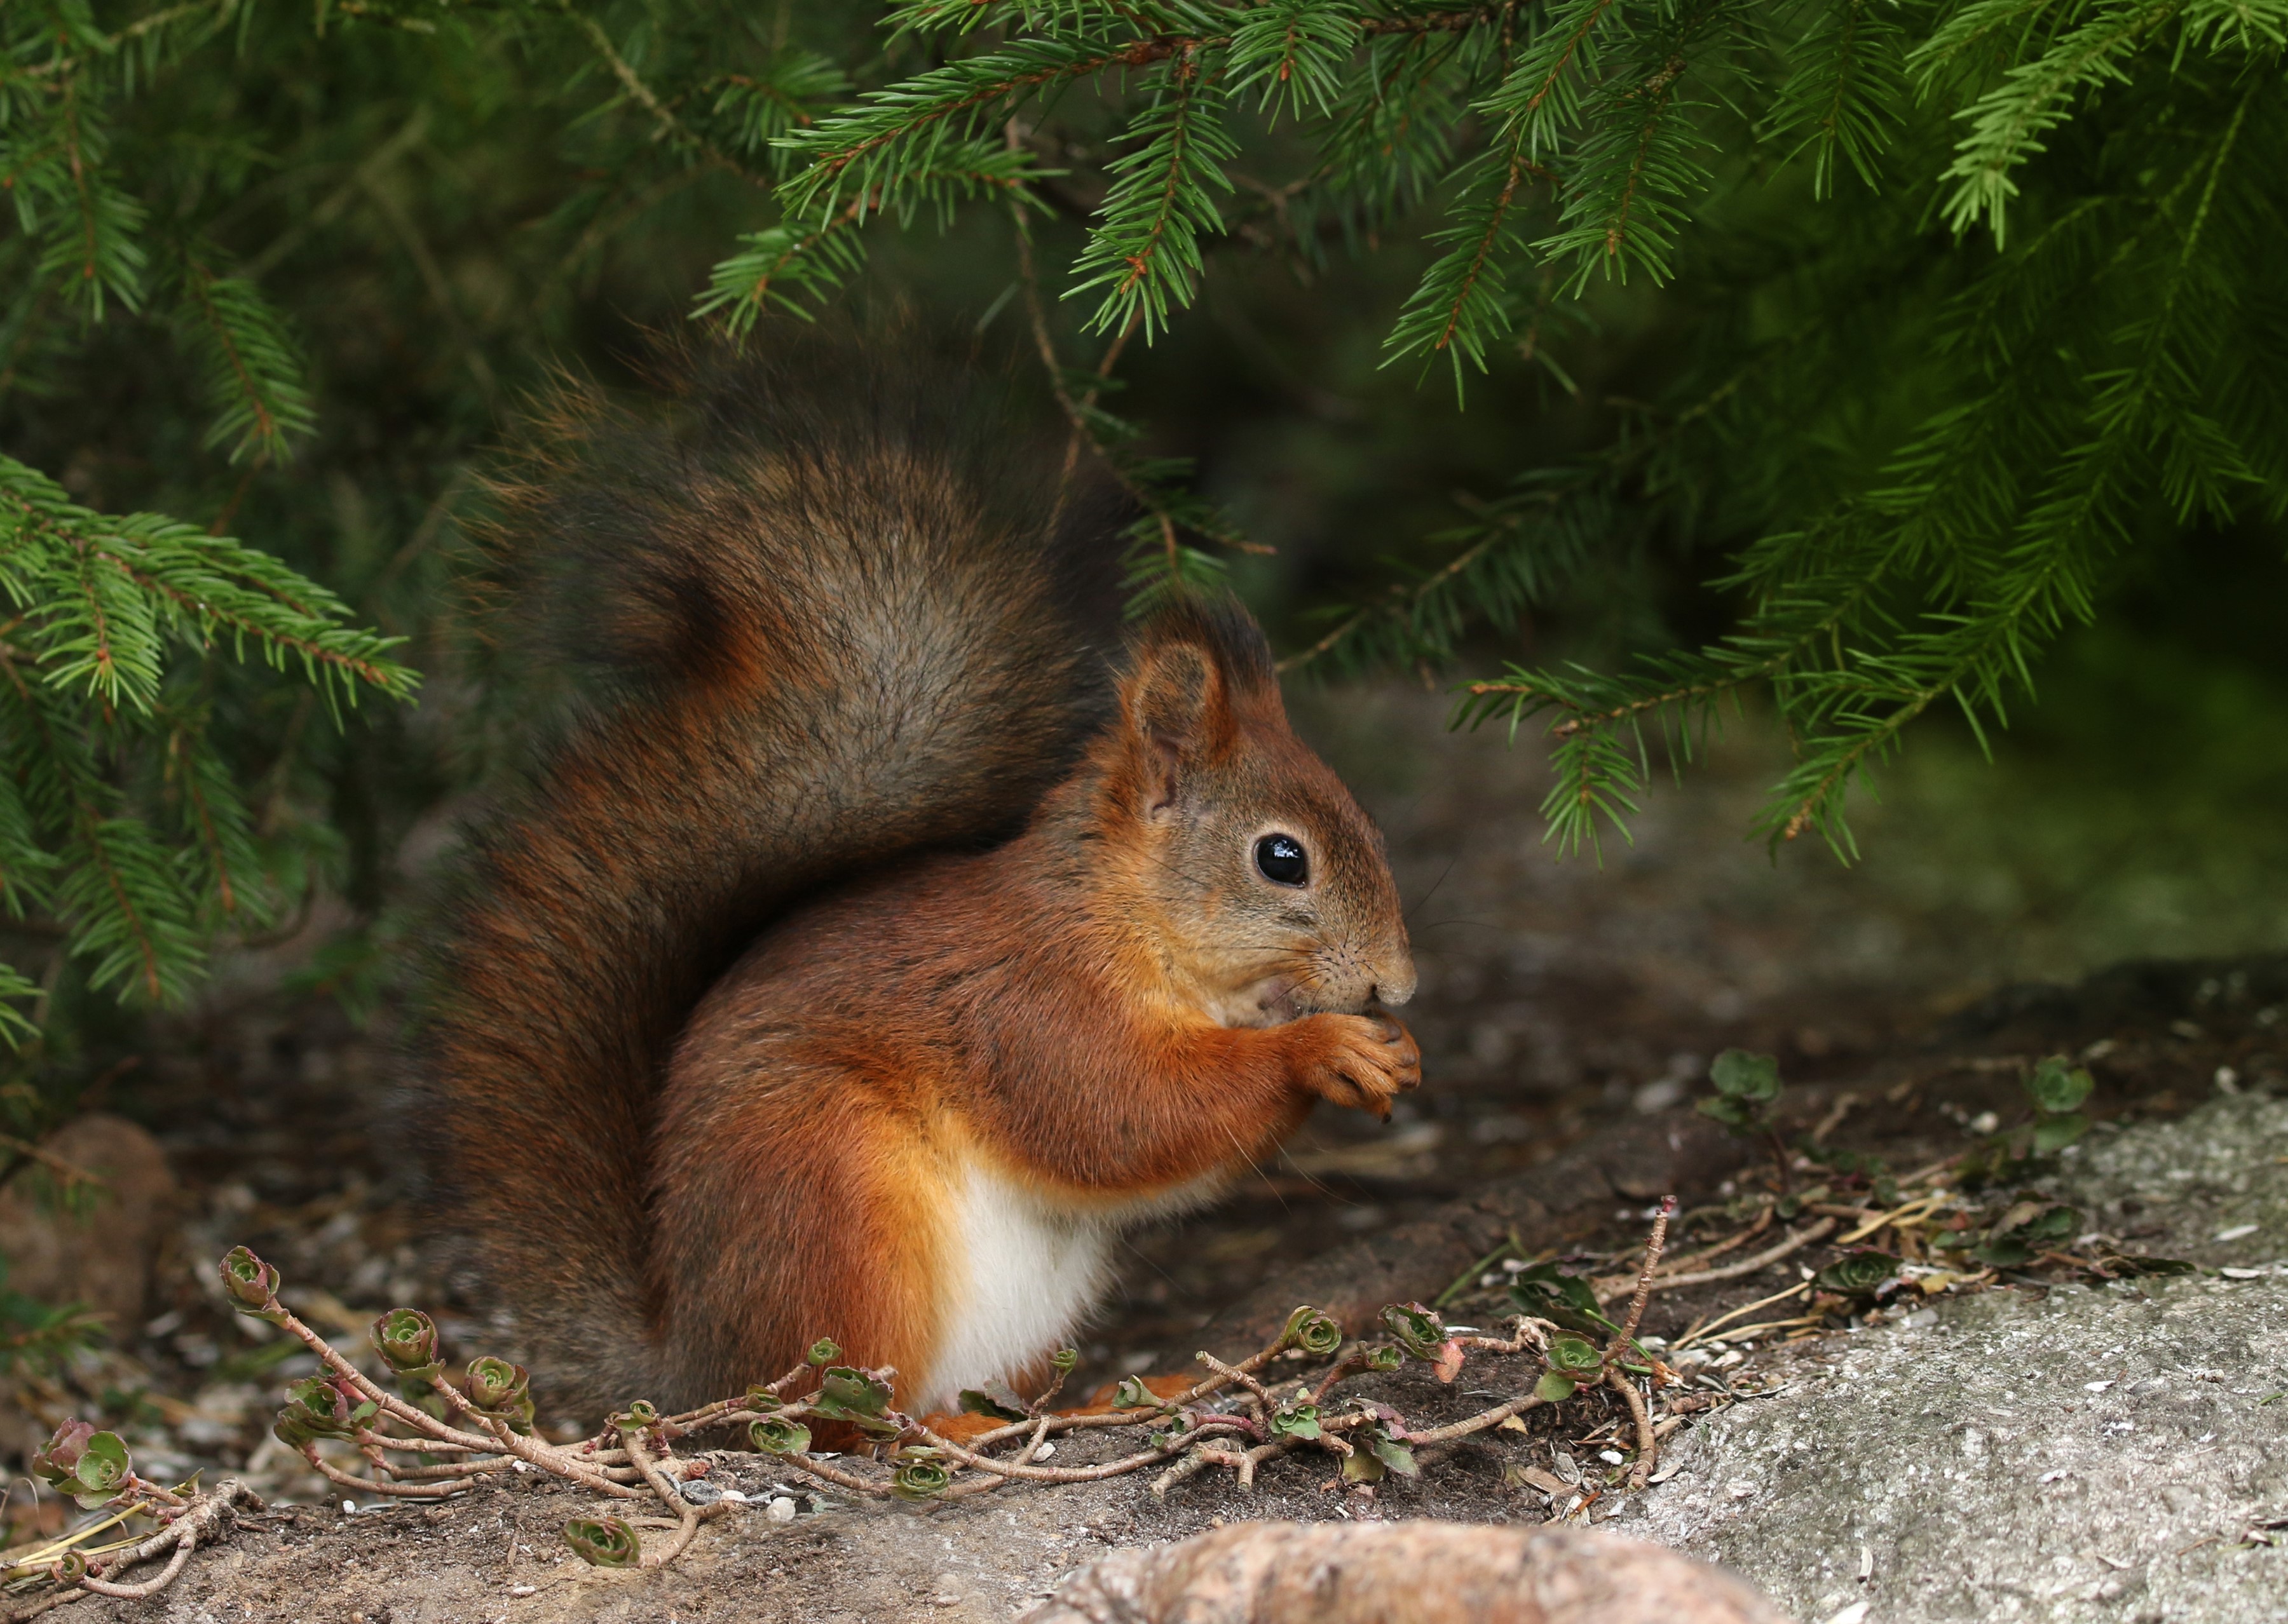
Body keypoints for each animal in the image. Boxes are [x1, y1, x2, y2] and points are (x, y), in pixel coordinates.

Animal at [421, 338, 1420, 1420]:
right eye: (1283, 859)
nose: (1401, 984)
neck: (1125, 918)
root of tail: (694, 1364)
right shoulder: (1028, 1007)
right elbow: (1119, 1113)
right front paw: (1322, 1048)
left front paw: (1389, 1050)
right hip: (835, 1198)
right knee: (842, 1419)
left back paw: (1098, 1400)